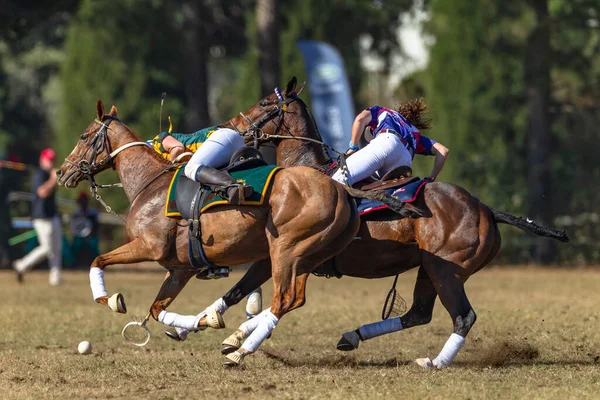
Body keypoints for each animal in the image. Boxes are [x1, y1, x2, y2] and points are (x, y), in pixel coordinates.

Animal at [57, 98, 408, 336]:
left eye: (85, 136)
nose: (62, 172)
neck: (148, 181)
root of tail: (343, 190)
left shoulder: (149, 246)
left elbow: (98, 261)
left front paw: (110, 298)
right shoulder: (180, 268)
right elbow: (157, 309)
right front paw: (198, 322)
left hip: (287, 250)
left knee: (286, 298)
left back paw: (240, 349)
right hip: (301, 255)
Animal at [177, 76, 568, 368]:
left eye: (263, 103)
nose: (229, 127)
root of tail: (486, 208)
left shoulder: (291, 255)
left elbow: (271, 298)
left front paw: (235, 339)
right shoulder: (275, 254)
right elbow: (240, 291)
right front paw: (199, 327)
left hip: (448, 270)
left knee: (463, 316)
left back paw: (434, 362)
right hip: (429, 267)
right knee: (418, 314)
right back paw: (354, 336)